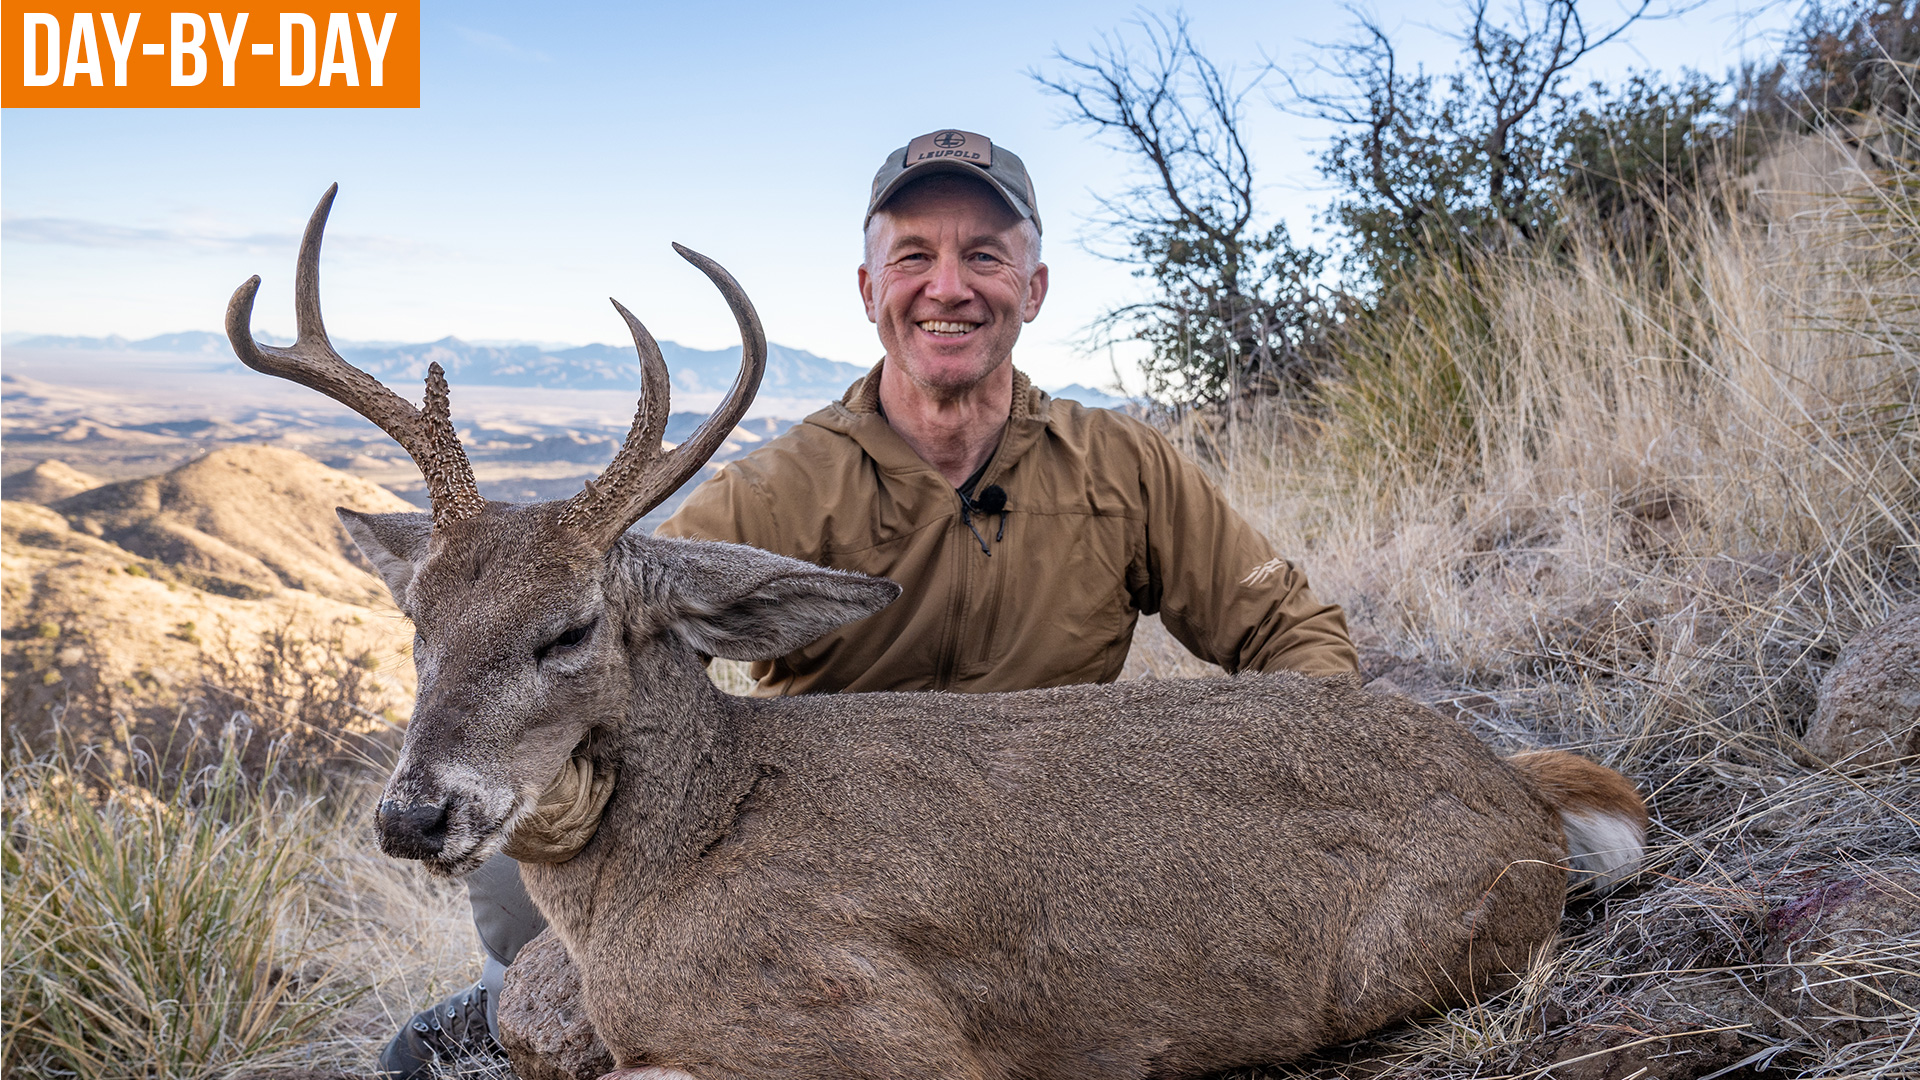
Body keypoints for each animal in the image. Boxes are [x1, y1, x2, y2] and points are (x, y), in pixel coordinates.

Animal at [228, 186, 1649, 1080]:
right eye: (415, 619)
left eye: (569, 628)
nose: (415, 814)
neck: (680, 851)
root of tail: (1518, 786)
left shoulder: (883, 1027)